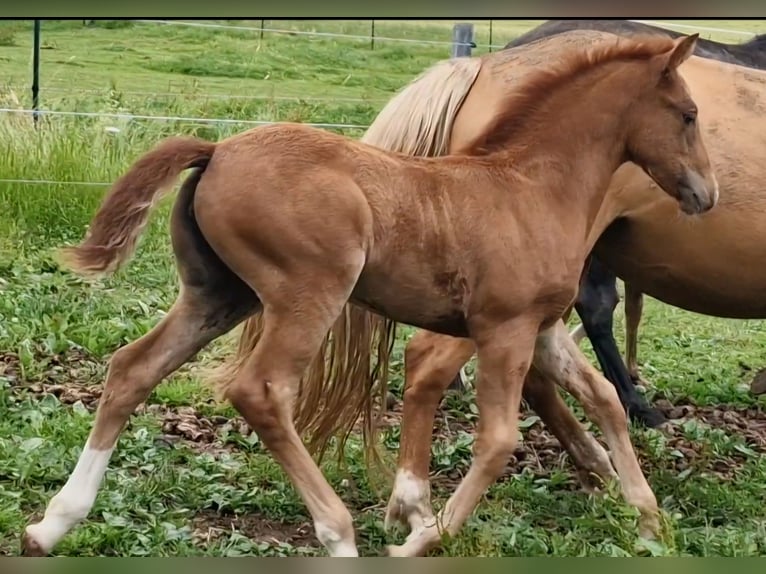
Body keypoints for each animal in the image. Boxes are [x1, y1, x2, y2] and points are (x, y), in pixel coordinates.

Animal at [24, 31, 720, 560]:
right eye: (688, 115)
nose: (706, 194)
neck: (530, 188)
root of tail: (217, 148)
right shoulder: (504, 328)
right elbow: (499, 440)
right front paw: (422, 538)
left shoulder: (543, 329)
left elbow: (605, 400)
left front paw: (650, 520)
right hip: (308, 293)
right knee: (262, 390)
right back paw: (338, 535)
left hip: (217, 296)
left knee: (132, 368)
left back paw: (51, 524)